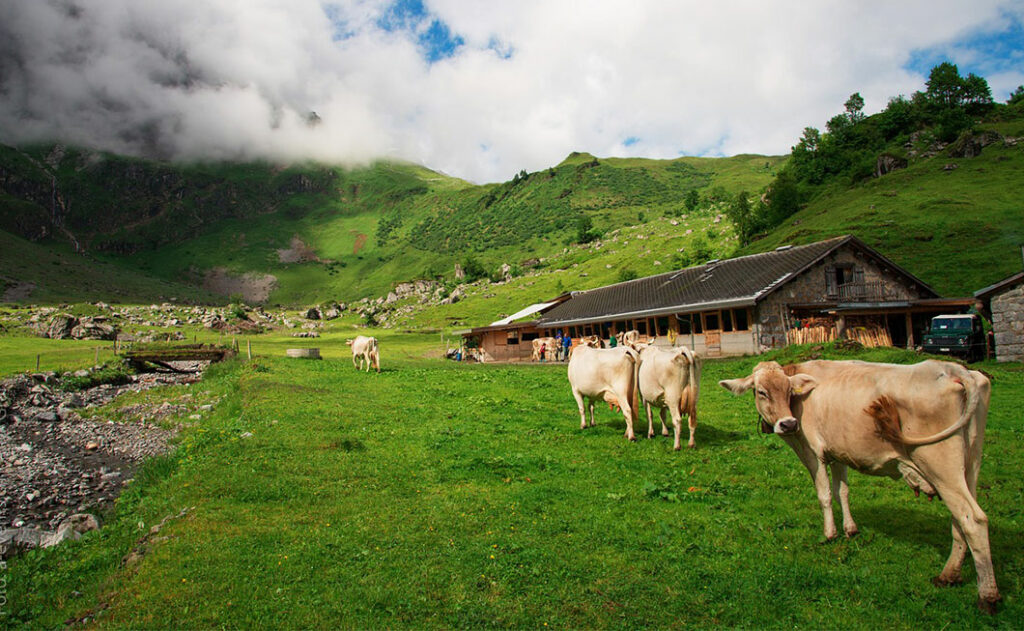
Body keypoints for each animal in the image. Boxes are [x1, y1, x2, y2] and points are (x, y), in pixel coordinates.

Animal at [720, 362, 999, 614]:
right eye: (761, 392)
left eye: (789, 391)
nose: (788, 424)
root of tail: (953, 369)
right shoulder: (838, 453)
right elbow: (841, 491)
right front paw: (850, 529)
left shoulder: (813, 453)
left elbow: (824, 494)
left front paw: (830, 533)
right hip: (970, 465)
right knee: (960, 520)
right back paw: (949, 575)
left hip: (940, 465)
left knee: (973, 519)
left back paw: (987, 596)